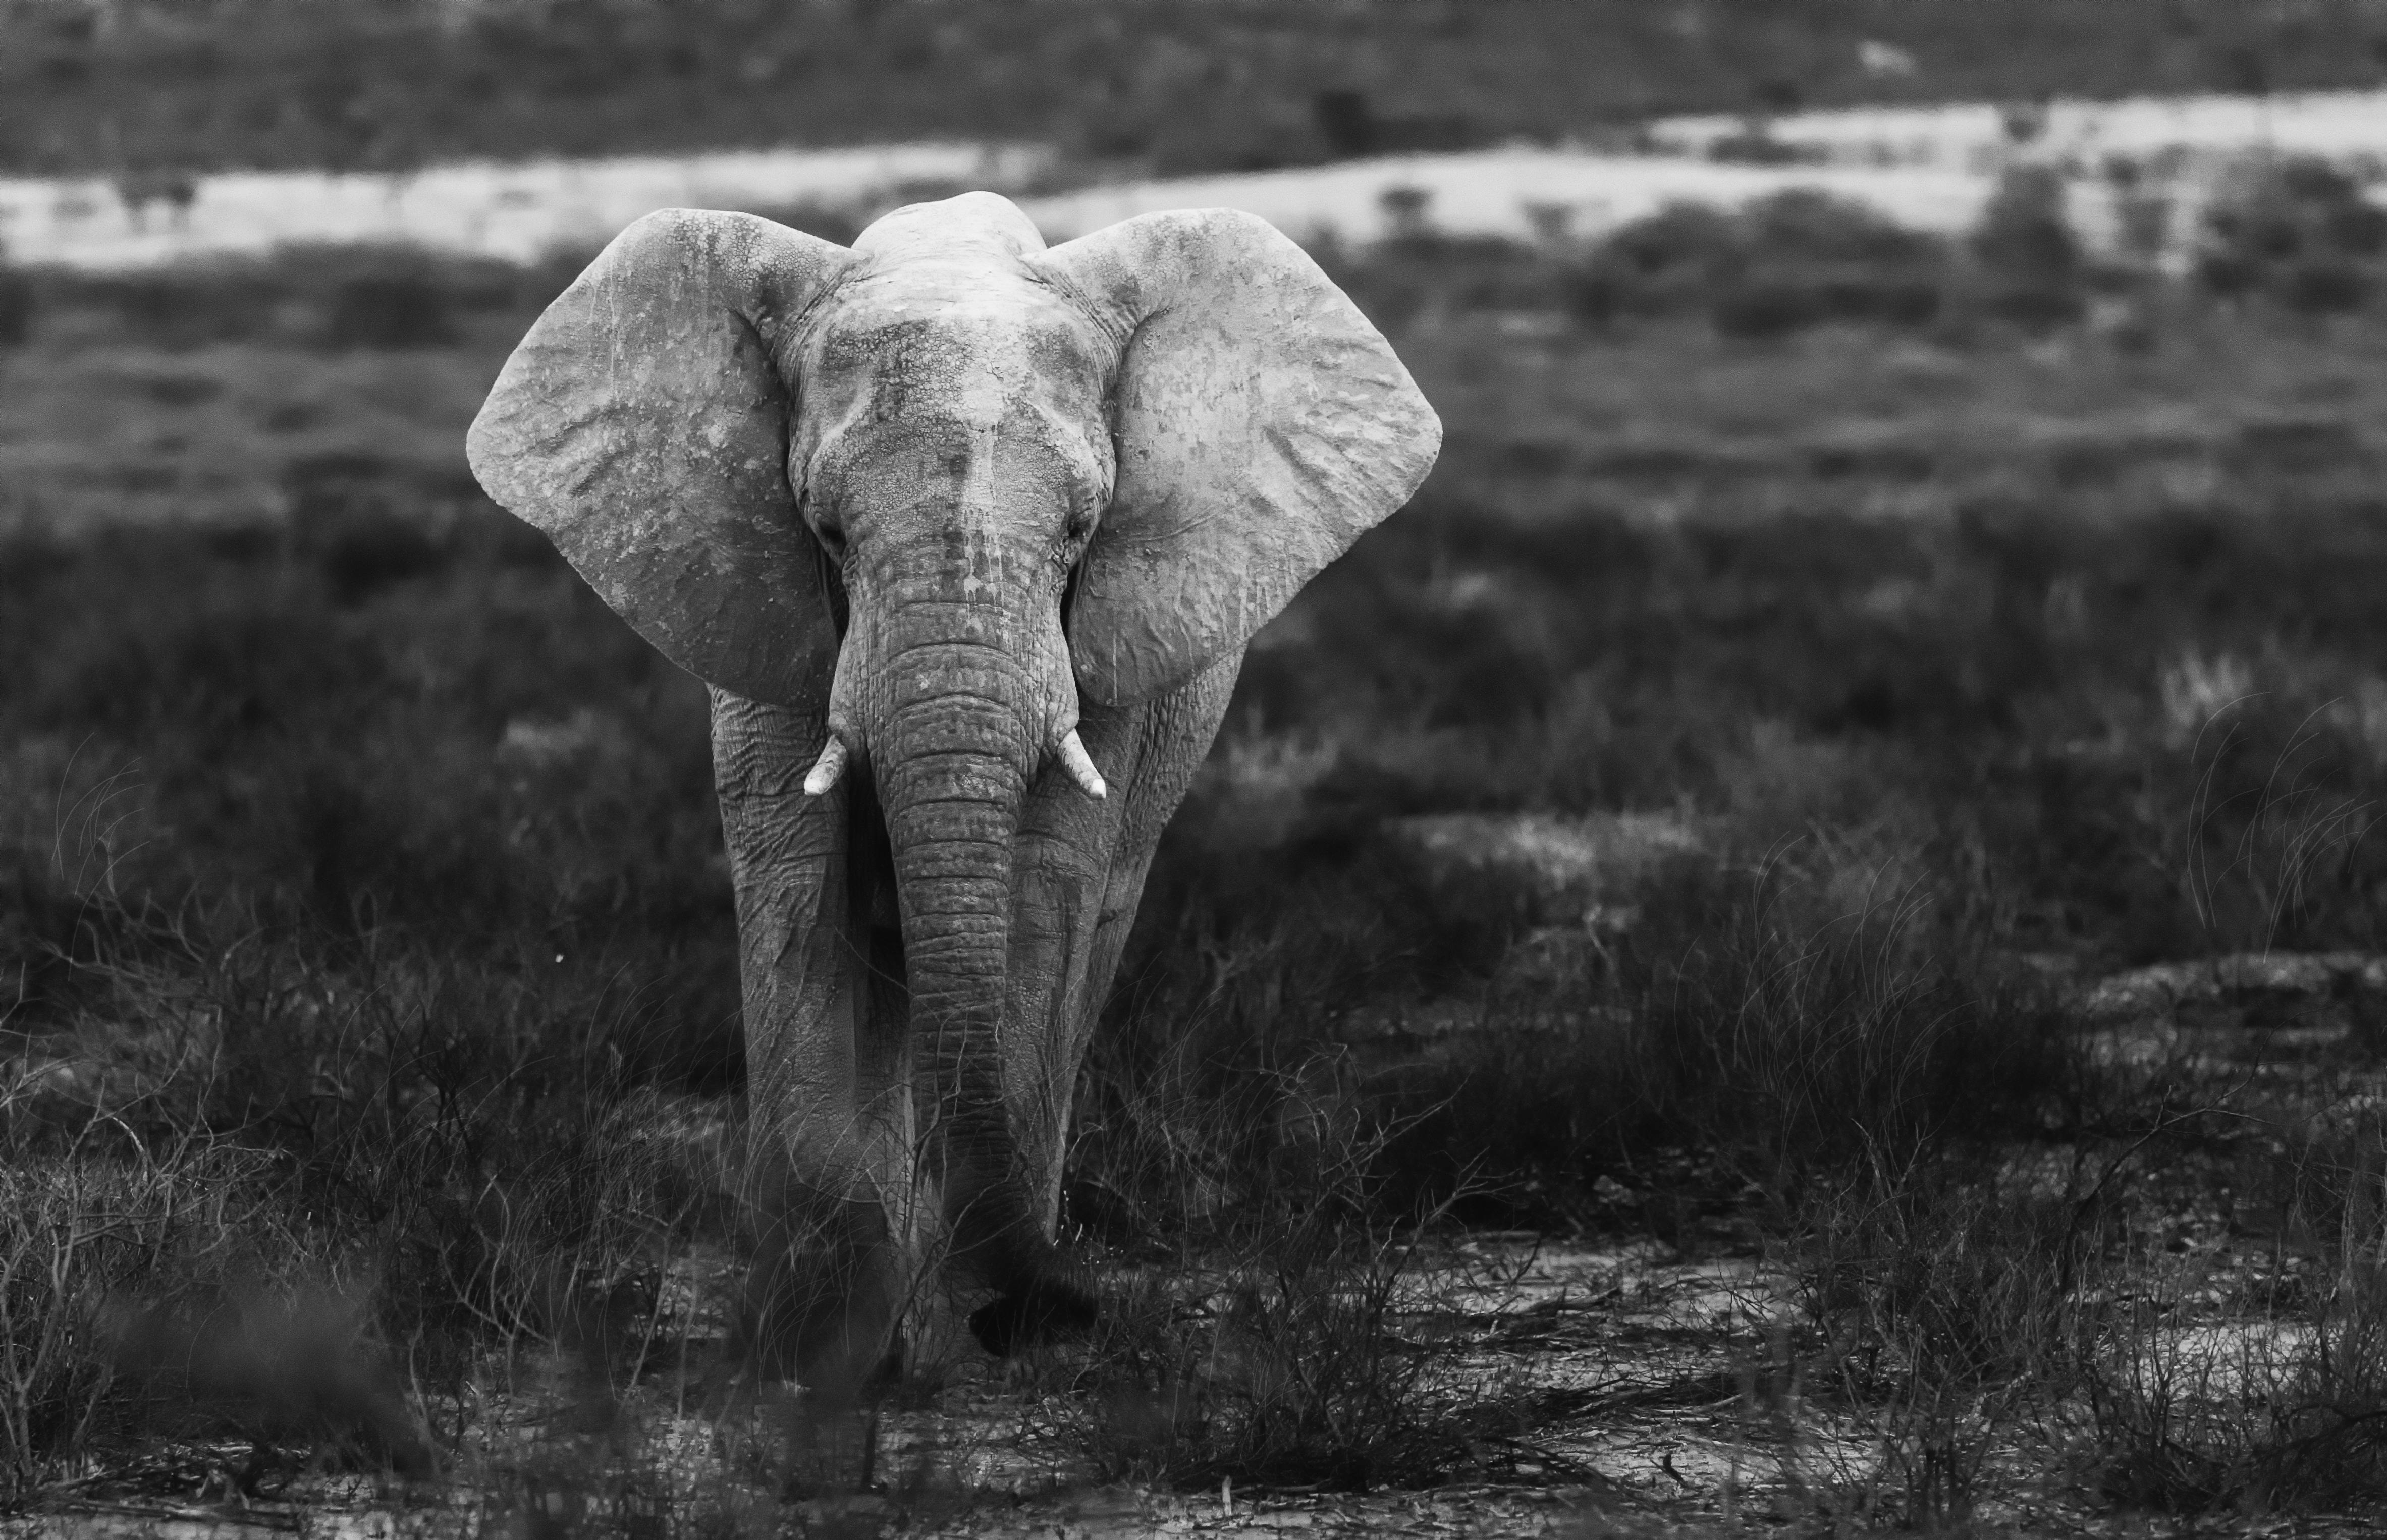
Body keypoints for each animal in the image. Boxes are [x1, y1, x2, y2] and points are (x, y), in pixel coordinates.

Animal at [465, 192, 1432, 1394]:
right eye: (829, 531)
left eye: (1080, 531)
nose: (1071, 1304)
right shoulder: (774, 633)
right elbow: (800, 902)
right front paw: (811, 1354)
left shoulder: (1101, 654)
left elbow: (1042, 900)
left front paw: (957, 1337)